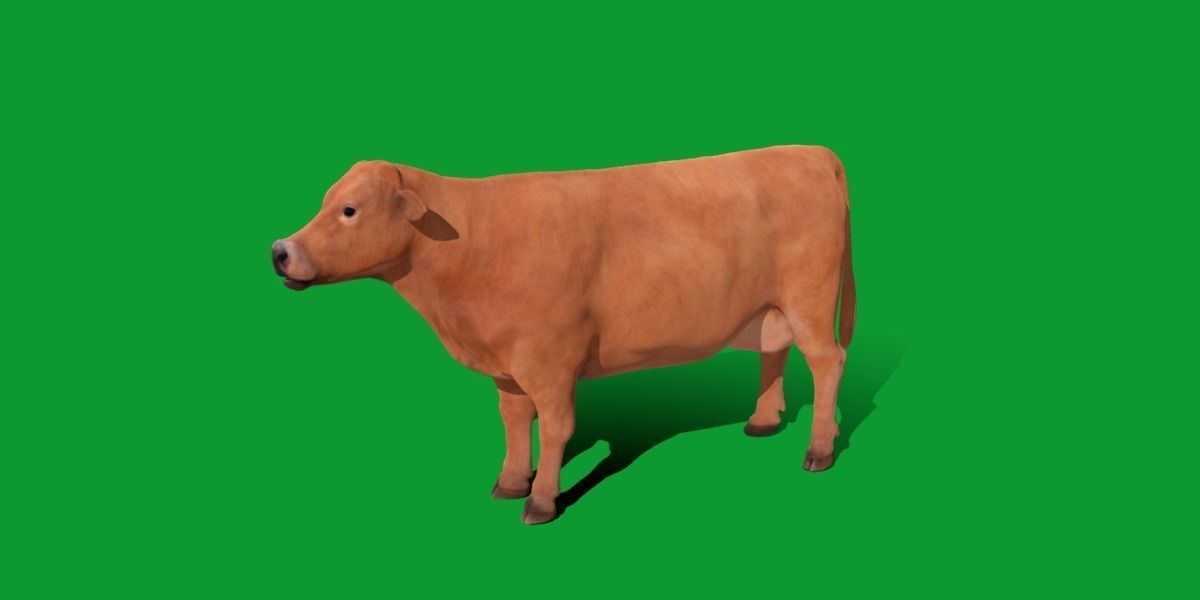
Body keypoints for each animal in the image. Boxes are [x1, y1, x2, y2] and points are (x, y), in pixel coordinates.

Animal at [271, 145, 856, 524]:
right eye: (326, 202)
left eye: (349, 210)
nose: (280, 250)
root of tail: (808, 151)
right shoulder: (508, 368)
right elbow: (513, 422)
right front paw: (511, 482)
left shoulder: (549, 359)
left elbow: (555, 427)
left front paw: (542, 501)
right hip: (771, 306)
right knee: (774, 351)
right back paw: (764, 421)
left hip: (809, 296)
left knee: (827, 361)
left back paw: (820, 449)